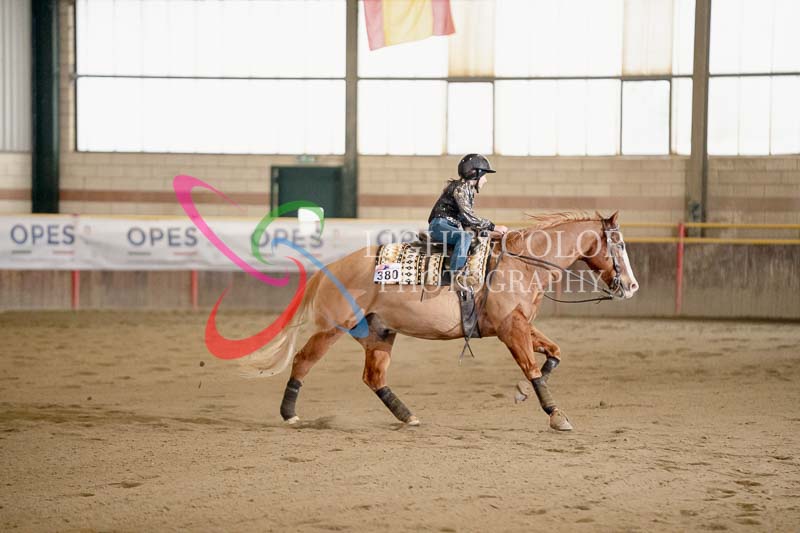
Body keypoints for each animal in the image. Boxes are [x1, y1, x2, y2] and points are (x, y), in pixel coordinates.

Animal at [247, 211, 639, 431]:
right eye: (618, 244)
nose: (632, 285)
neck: (522, 264)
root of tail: (329, 268)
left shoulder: (522, 324)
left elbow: (553, 354)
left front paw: (522, 392)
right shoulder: (511, 330)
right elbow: (531, 366)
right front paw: (557, 416)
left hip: (379, 333)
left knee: (374, 377)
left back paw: (407, 416)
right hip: (332, 329)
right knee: (303, 361)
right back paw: (289, 414)